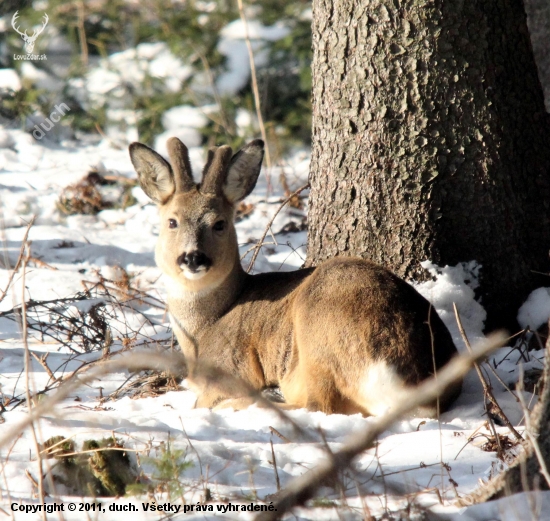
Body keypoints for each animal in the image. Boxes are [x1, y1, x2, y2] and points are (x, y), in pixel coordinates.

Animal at [128, 137, 462, 414]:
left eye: (219, 223)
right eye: (172, 221)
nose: (193, 257)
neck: (204, 328)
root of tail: (415, 385)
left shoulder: (232, 368)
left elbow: (204, 401)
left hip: (319, 330)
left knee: (319, 405)